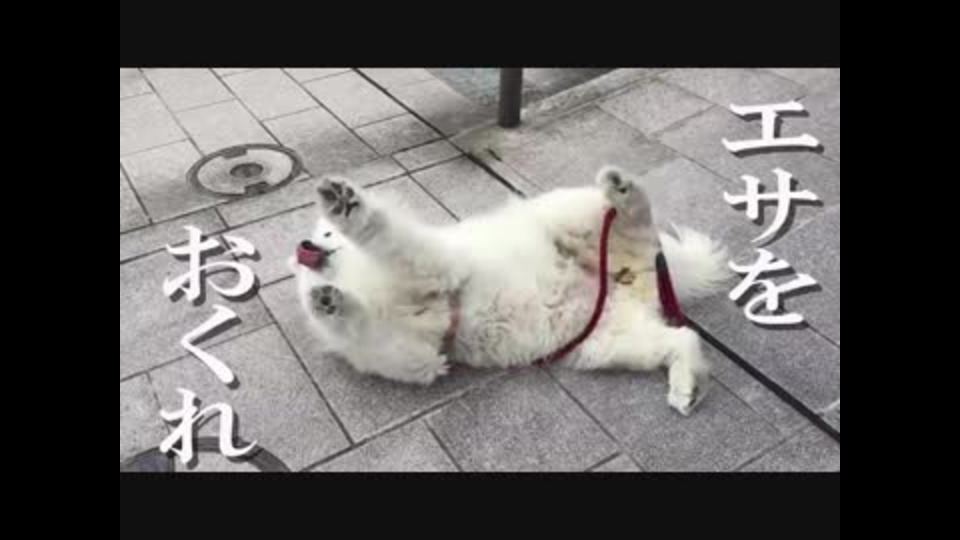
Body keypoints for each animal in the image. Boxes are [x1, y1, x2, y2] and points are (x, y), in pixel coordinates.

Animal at [289, 166, 731, 415]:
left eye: (325, 233)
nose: (304, 245)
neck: (368, 281)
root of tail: (634, 274)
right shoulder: (416, 356)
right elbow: (369, 331)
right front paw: (327, 303)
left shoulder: (437, 267)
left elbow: (383, 235)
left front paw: (348, 208)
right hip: (605, 345)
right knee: (683, 337)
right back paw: (688, 387)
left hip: (575, 217)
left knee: (635, 216)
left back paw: (622, 190)